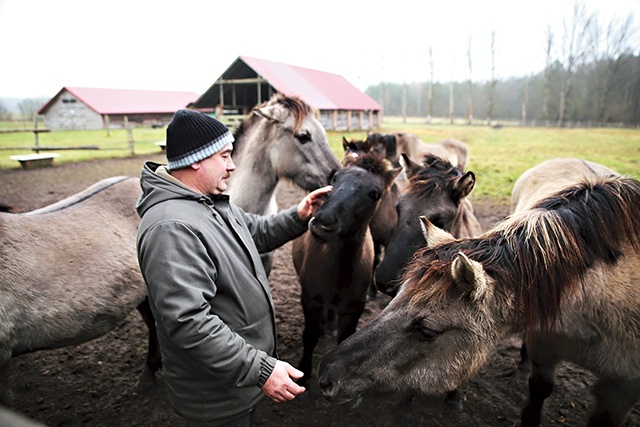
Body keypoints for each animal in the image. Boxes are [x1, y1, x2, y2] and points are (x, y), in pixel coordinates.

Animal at [292, 152, 400, 386]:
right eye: (335, 178)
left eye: (374, 193)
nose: (322, 222)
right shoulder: (310, 300)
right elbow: (310, 336)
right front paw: (303, 374)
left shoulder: (353, 309)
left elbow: (344, 340)